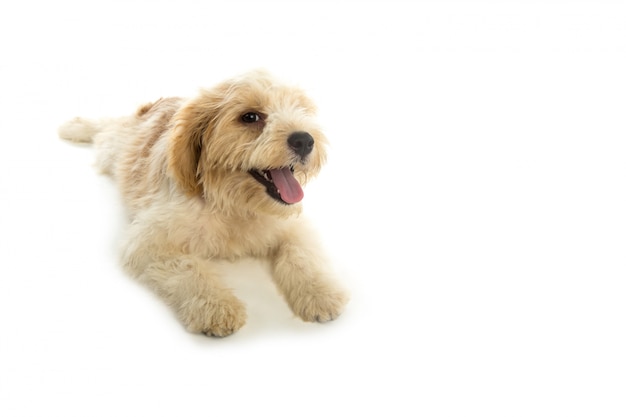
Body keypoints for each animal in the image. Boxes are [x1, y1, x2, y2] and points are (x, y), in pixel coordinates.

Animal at [58, 70, 346, 336]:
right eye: (250, 117)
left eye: (300, 108)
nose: (305, 140)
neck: (234, 205)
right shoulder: (148, 241)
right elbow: (189, 269)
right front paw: (217, 307)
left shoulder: (293, 227)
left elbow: (302, 255)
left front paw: (321, 293)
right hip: (113, 149)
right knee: (106, 128)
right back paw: (76, 127)